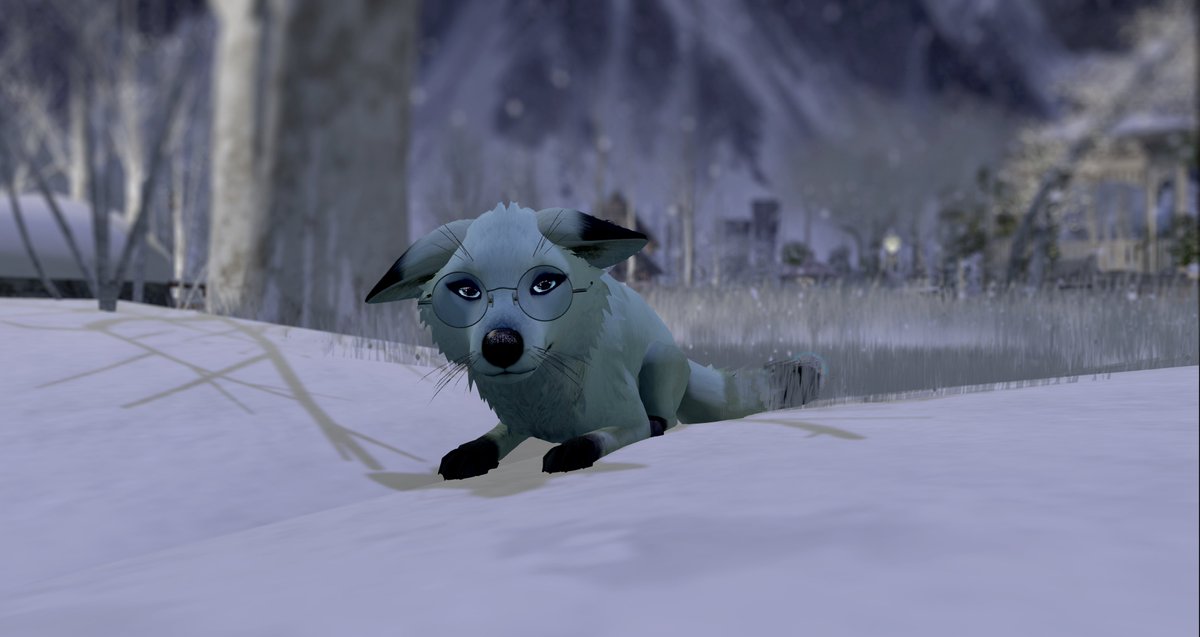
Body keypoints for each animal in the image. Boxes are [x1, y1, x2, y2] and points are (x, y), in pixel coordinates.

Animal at [365, 203, 823, 479]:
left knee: (666, 421)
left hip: (659, 364)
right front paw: (469, 454)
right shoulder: (517, 422)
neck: (546, 402)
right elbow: (490, 439)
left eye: (545, 283)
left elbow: (606, 435)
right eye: (466, 290)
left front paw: (571, 452)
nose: (501, 343)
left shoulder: (626, 416)